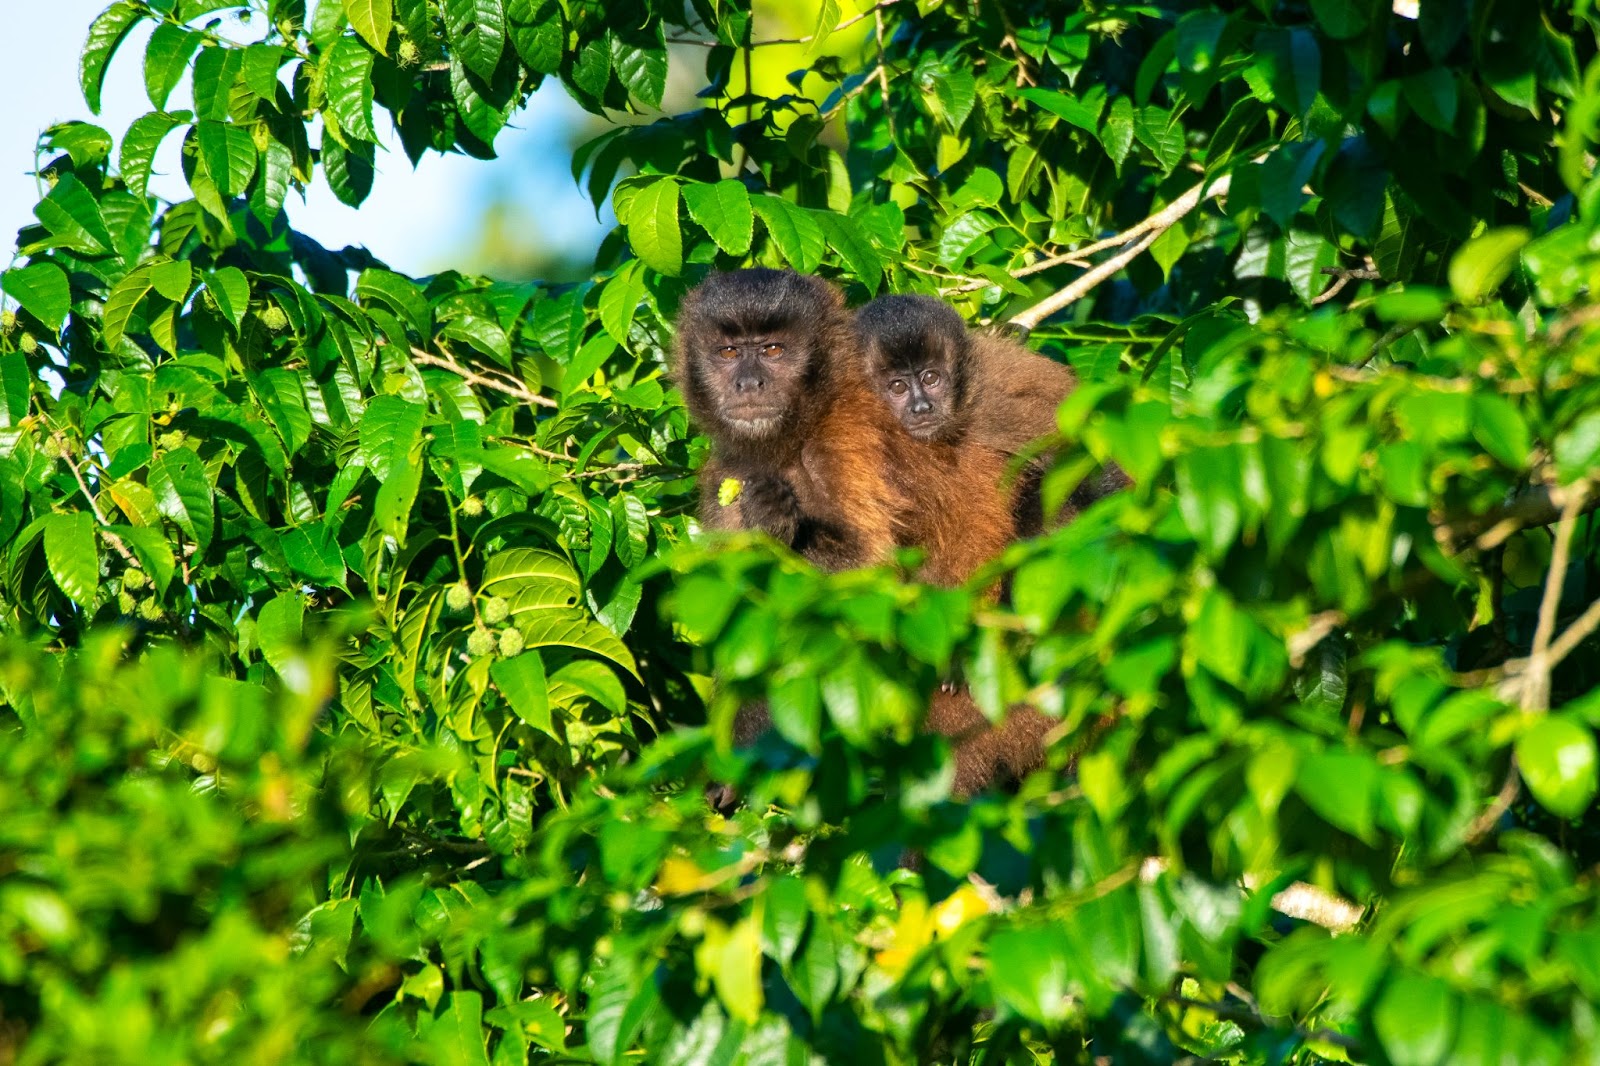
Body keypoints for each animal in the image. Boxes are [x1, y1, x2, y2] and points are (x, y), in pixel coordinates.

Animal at [672, 270, 1024, 793]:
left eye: (773, 350)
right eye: (730, 352)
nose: (748, 382)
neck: (800, 427)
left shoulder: (842, 440)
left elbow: (868, 576)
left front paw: (775, 520)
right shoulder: (728, 471)